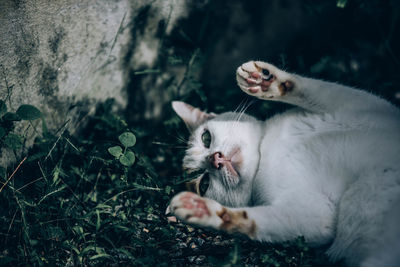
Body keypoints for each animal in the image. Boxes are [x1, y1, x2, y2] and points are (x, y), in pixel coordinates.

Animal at [168, 60, 400, 267]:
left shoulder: (370, 108)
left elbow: (317, 89)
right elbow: (255, 221)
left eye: (206, 138)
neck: (267, 151)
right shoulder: (316, 214)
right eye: (204, 184)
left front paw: (264, 80)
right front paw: (203, 210)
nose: (215, 159)